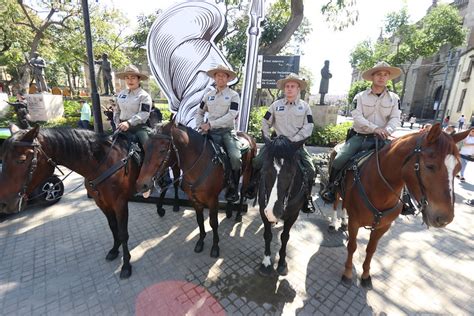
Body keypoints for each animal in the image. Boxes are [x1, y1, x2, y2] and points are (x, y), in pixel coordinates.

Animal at [0, 126, 178, 278]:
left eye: (21, 160)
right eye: (3, 159)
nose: (5, 203)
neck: (103, 163)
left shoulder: (119, 203)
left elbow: (122, 233)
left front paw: (126, 265)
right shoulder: (102, 203)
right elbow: (112, 227)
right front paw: (114, 250)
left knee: (173, 182)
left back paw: (173, 205)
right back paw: (160, 208)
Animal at [135, 122, 258, 258]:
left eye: (162, 150)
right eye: (145, 147)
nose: (141, 185)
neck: (199, 163)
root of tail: (248, 136)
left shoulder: (213, 200)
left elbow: (213, 223)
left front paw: (215, 246)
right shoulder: (194, 200)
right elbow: (199, 221)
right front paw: (200, 241)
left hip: (247, 172)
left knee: (242, 191)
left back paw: (238, 215)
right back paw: (229, 209)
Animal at [256, 136, 308, 276]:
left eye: (291, 173)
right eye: (264, 170)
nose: (273, 211)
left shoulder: (293, 215)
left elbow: (285, 237)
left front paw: (282, 263)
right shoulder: (263, 211)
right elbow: (267, 235)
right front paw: (266, 262)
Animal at [334, 123, 470, 288]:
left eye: (457, 169)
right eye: (430, 166)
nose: (445, 218)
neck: (379, 189)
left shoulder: (383, 227)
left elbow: (371, 249)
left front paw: (366, 274)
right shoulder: (354, 222)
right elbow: (352, 246)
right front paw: (347, 273)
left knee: (343, 207)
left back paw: (342, 221)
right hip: (335, 190)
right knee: (335, 204)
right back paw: (332, 222)